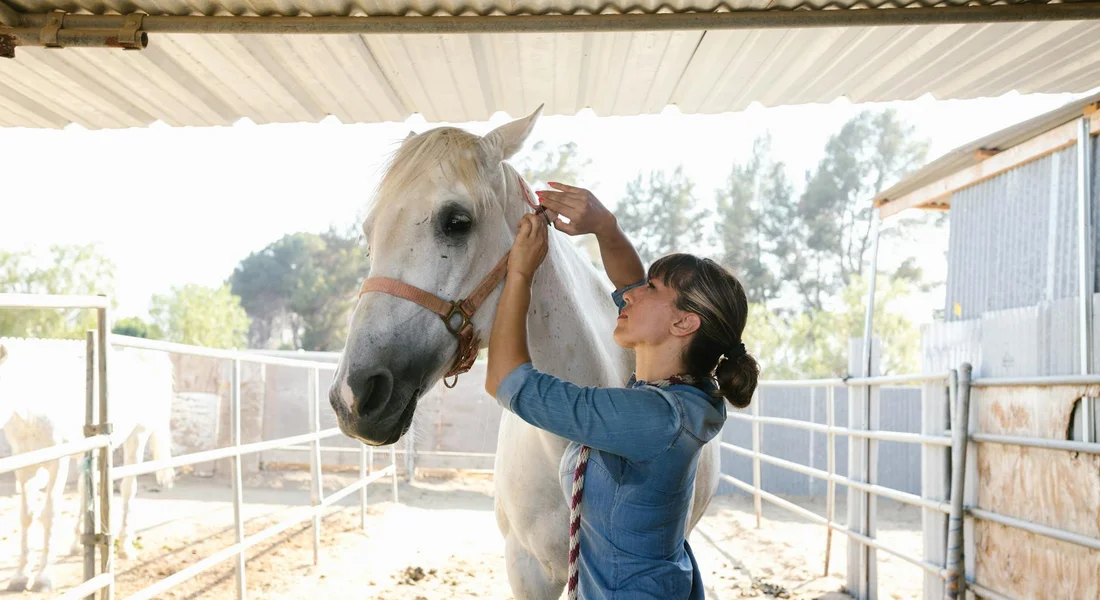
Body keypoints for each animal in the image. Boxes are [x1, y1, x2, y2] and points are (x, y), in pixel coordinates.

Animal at [0, 338, 175, 592]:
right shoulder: (25, 465)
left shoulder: (58, 461)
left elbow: (49, 514)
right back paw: (77, 543)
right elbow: (27, 515)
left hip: (137, 438)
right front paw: (20, 577)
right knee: (86, 491)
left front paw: (43, 578)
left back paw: (126, 547)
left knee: (128, 489)